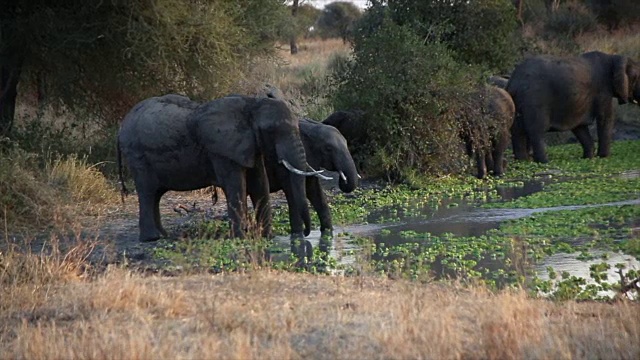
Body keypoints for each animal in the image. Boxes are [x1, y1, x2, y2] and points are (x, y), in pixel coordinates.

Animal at [117, 94, 322, 243]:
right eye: (271, 131)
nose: (306, 233)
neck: (251, 104)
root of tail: (121, 126)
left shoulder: (251, 145)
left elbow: (259, 184)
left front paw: (266, 237)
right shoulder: (222, 149)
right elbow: (236, 186)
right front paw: (241, 238)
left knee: (156, 194)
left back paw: (163, 236)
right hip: (137, 156)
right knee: (147, 192)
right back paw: (151, 239)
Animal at [504, 50, 640, 162]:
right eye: (637, 78)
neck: (613, 57)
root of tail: (513, 81)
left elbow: (579, 126)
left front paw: (588, 157)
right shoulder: (603, 90)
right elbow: (605, 118)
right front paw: (603, 157)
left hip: (518, 101)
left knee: (518, 131)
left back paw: (523, 161)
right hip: (534, 99)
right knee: (536, 131)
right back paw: (544, 161)